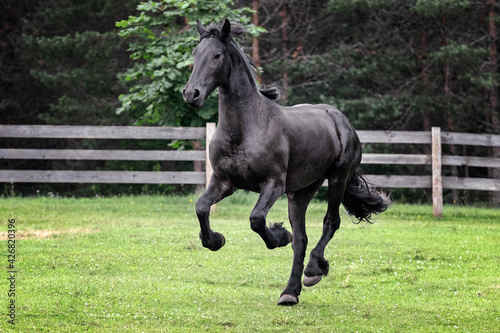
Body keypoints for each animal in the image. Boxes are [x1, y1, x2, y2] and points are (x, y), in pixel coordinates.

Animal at [182, 19, 388, 304]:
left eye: (217, 55)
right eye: (195, 54)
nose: (191, 94)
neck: (243, 129)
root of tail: (339, 119)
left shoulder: (273, 184)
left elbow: (256, 219)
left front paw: (279, 236)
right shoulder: (224, 182)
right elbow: (202, 207)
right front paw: (215, 240)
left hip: (337, 178)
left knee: (331, 222)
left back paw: (314, 270)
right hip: (301, 192)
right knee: (301, 239)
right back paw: (290, 292)